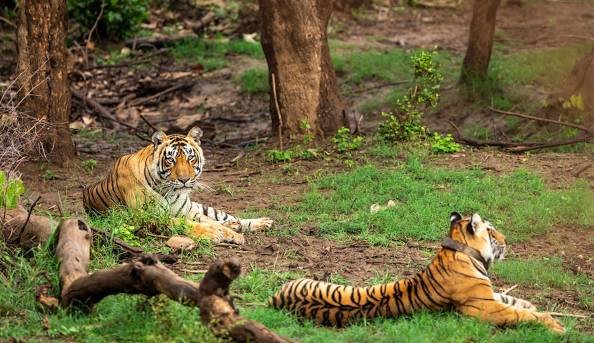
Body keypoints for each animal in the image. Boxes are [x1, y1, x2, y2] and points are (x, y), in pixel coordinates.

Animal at [82, 127, 272, 245]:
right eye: (171, 160)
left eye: (190, 158)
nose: (184, 179)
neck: (169, 191)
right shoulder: (148, 217)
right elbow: (190, 224)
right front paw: (215, 233)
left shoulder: (188, 211)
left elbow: (210, 221)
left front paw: (233, 234)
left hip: (199, 207)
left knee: (224, 216)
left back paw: (259, 222)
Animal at [268, 214, 564, 334]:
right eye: (491, 231)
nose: (506, 240)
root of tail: (275, 299)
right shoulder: (483, 308)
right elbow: (519, 313)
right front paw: (555, 325)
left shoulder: (489, 296)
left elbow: (512, 300)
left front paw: (531, 304)